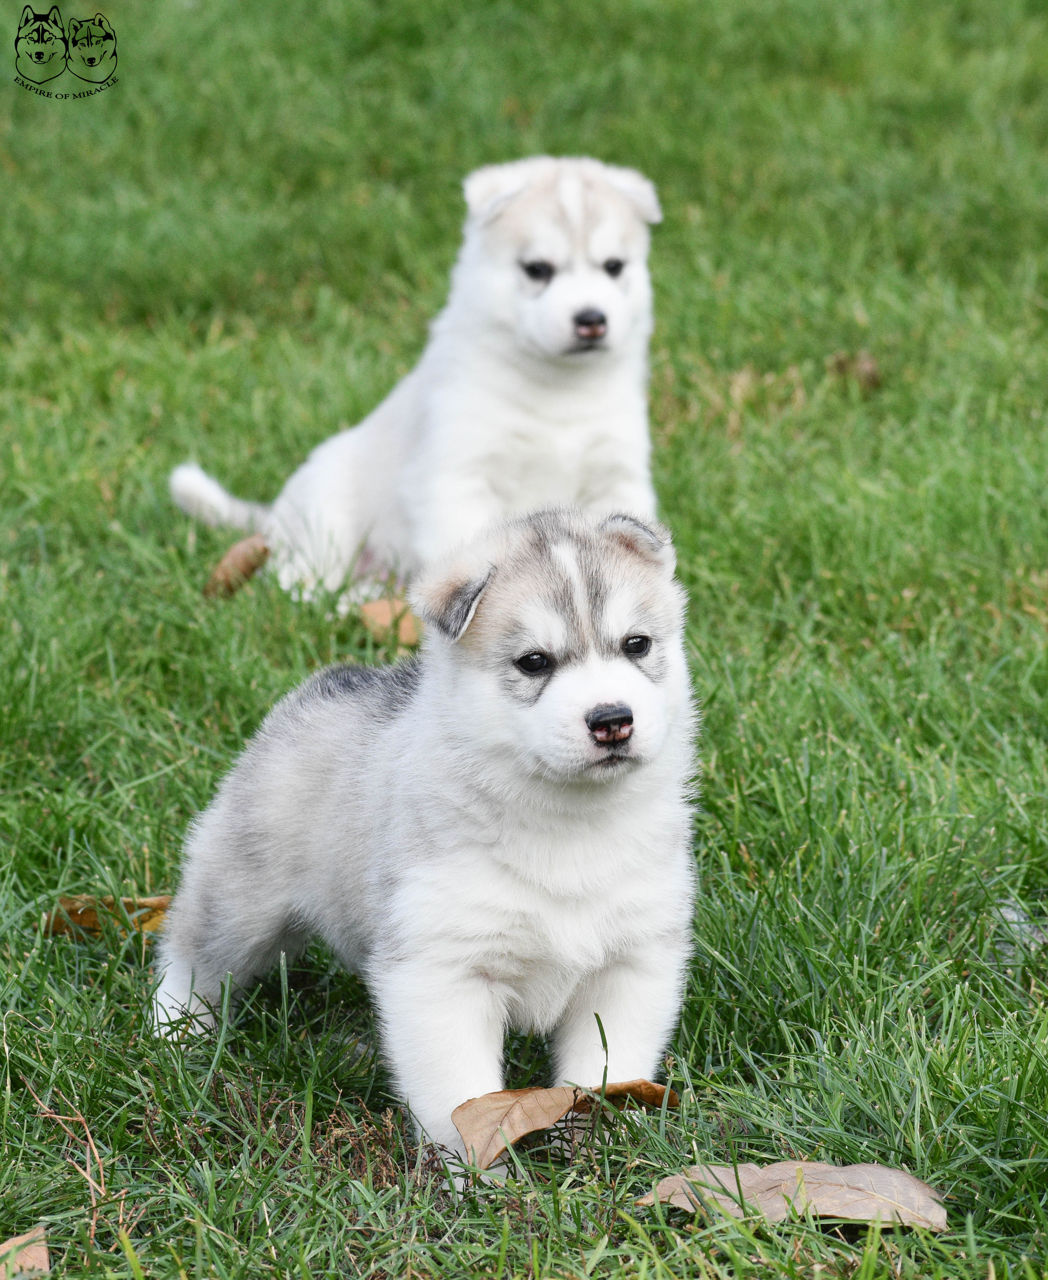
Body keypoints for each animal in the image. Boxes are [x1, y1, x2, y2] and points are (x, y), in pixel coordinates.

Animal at [155, 506, 696, 1162]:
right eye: (534, 661)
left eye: (636, 644)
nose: (612, 719)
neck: (569, 824)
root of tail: (334, 681)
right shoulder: (441, 973)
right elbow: (460, 1097)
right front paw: (477, 1177)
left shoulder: (633, 962)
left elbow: (602, 1073)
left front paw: (599, 1154)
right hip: (241, 897)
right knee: (192, 953)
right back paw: (174, 1036)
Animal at [172, 157, 665, 596]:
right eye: (537, 269)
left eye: (614, 266)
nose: (591, 320)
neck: (560, 390)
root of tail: (273, 517)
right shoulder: (459, 476)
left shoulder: (617, 477)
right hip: (325, 513)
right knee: (297, 581)